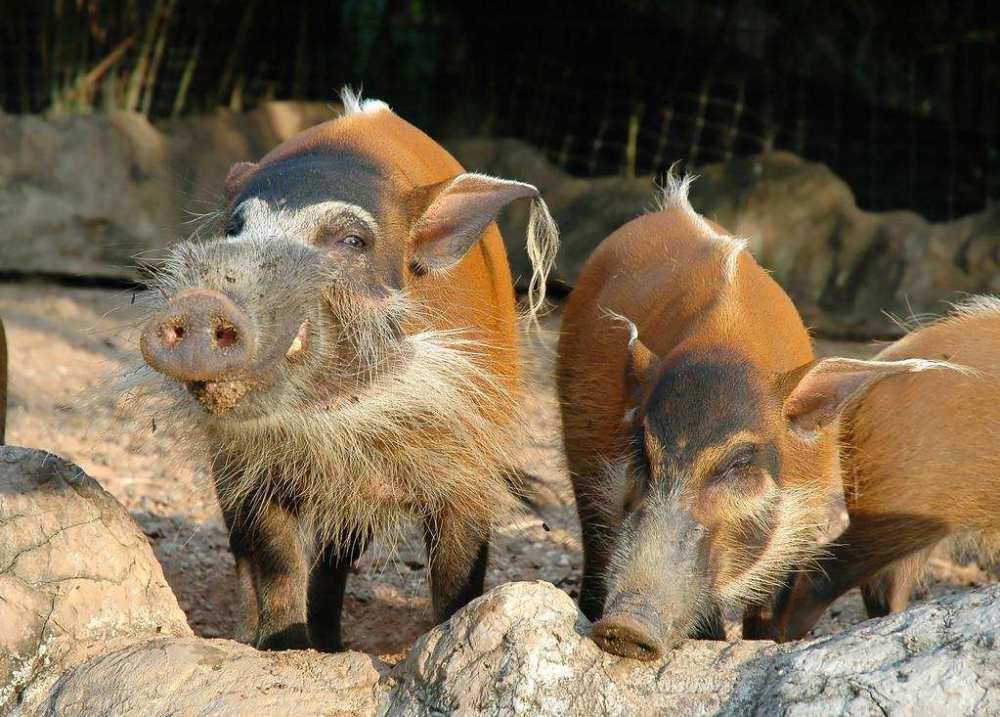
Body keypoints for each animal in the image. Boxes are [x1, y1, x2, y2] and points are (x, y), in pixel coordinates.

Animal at [122, 89, 560, 648]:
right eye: (234, 230)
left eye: (352, 242)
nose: (201, 302)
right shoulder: (255, 465)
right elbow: (278, 563)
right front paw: (284, 647)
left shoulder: (470, 462)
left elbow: (457, 575)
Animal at [560, 178, 948, 660]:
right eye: (641, 452)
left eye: (739, 462)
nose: (624, 627)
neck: (724, 342)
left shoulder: (803, 518)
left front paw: (767, 644)